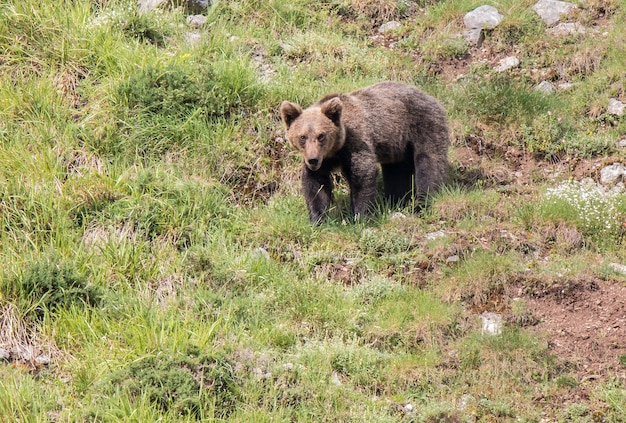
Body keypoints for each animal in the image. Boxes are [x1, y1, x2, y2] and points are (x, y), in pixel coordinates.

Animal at [280, 80, 448, 224]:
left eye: (321, 135)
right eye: (302, 137)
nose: (313, 159)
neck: (335, 149)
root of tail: (429, 96)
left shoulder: (356, 143)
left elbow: (362, 175)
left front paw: (361, 216)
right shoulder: (324, 160)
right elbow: (315, 184)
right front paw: (318, 219)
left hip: (424, 126)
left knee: (429, 164)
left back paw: (422, 204)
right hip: (398, 146)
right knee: (397, 173)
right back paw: (397, 202)